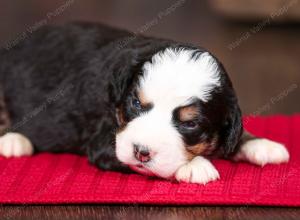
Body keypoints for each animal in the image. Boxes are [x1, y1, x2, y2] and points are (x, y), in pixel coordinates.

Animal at [0, 22, 290, 184]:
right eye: (136, 104)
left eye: (190, 123)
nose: (142, 150)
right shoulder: (104, 142)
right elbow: (150, 165)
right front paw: (196, 166)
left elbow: (238, 134)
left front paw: (261, 144)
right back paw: (13, 140)